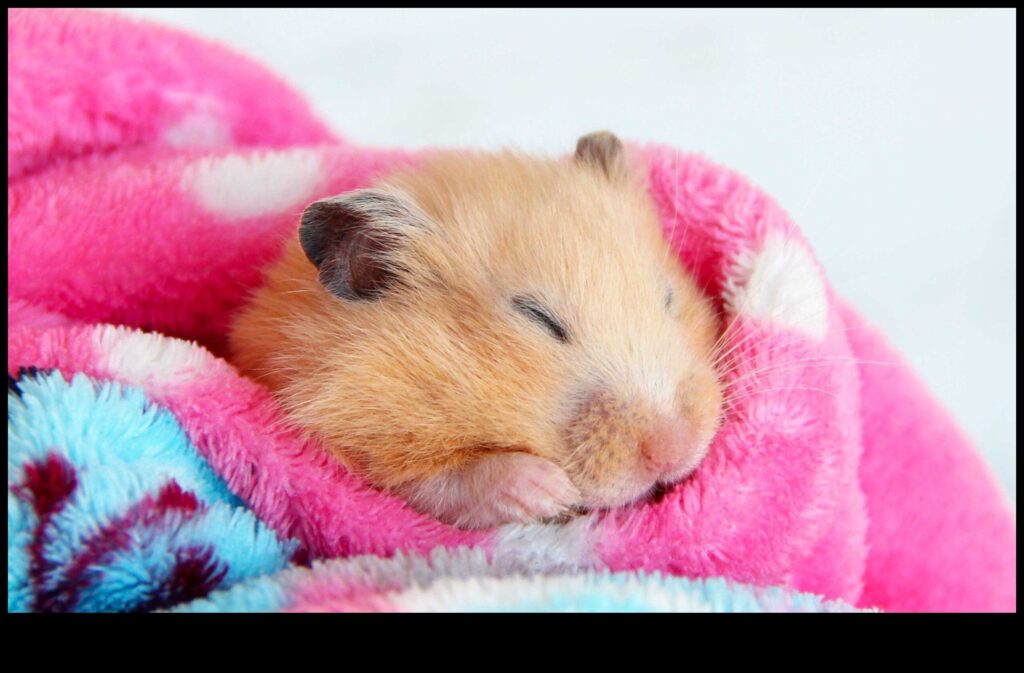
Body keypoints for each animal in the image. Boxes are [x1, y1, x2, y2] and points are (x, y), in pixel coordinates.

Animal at [229, 132, 724, 529]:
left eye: (668, 297)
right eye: (538, 318)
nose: (676, 450)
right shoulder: (344, 432)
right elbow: (442, 483)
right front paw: (548, 489)